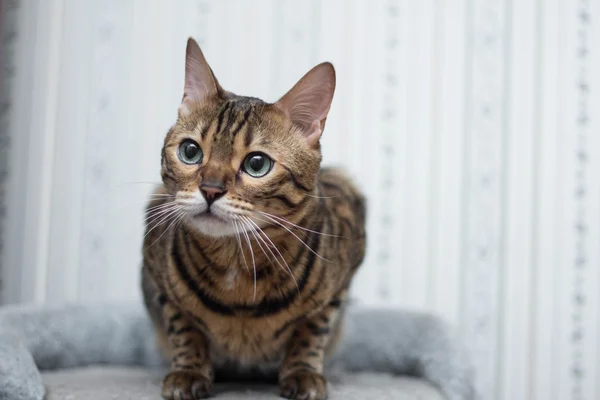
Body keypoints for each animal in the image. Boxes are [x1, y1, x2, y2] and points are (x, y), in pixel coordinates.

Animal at [142, 38, 366, 400]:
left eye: (257, 164)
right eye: (190, 152)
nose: (210, 189)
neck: (237, 266)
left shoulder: (340, 278)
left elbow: (311, 331)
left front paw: (302, 372)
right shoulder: (158, 273)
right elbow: (184, 327)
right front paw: (189, 371)